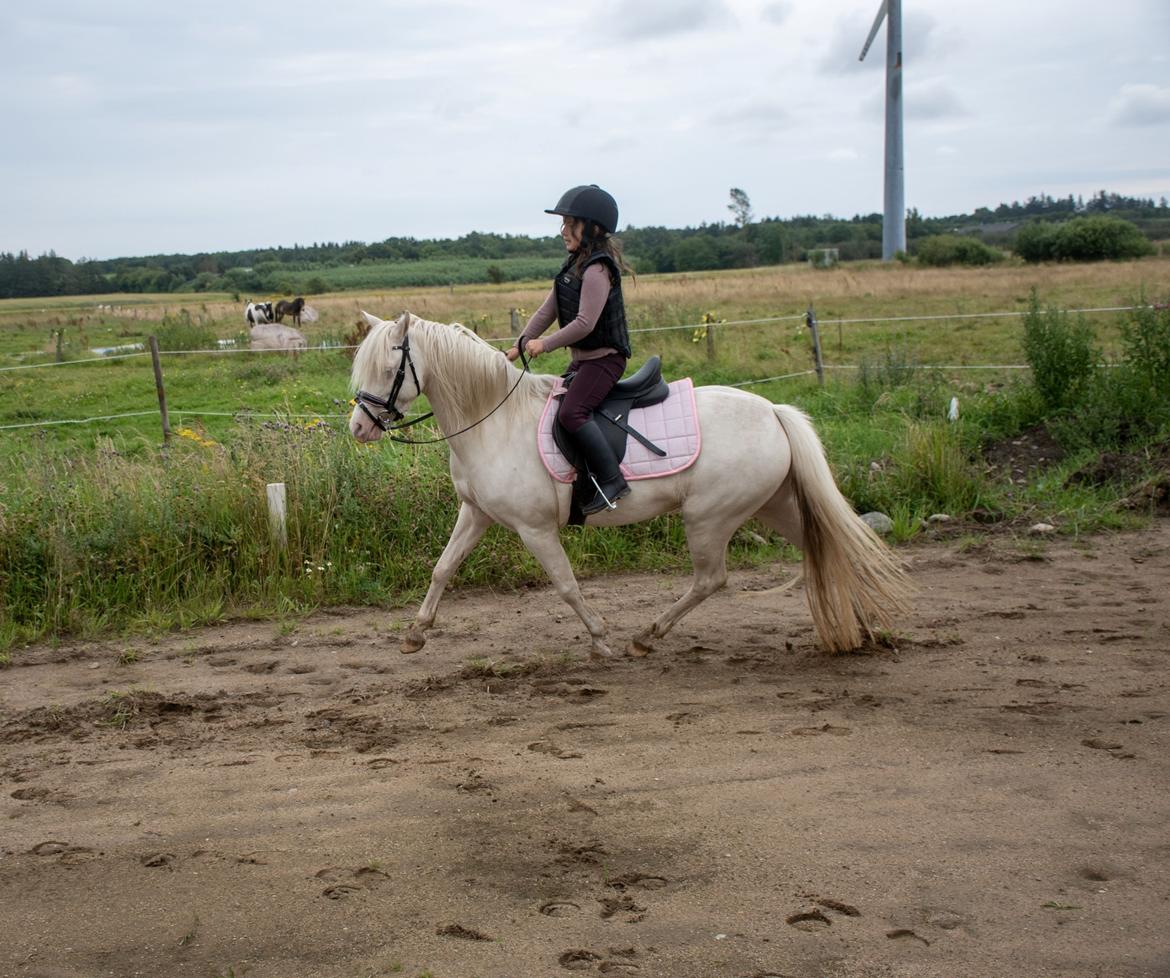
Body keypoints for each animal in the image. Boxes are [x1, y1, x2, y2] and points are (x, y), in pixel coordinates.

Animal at [348, 311, 912, 655]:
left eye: (389, 368)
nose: (358, 428)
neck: (493, 420)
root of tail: (774, 411)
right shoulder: (476, 513)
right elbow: (442, 569)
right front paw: (416, 635)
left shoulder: (535, 529)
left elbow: (566, 585)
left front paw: (600, 639)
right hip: (772, 505)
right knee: (827, 546)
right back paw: (863, 624)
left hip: (709, 517)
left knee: (711, 580)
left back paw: (646, 637)